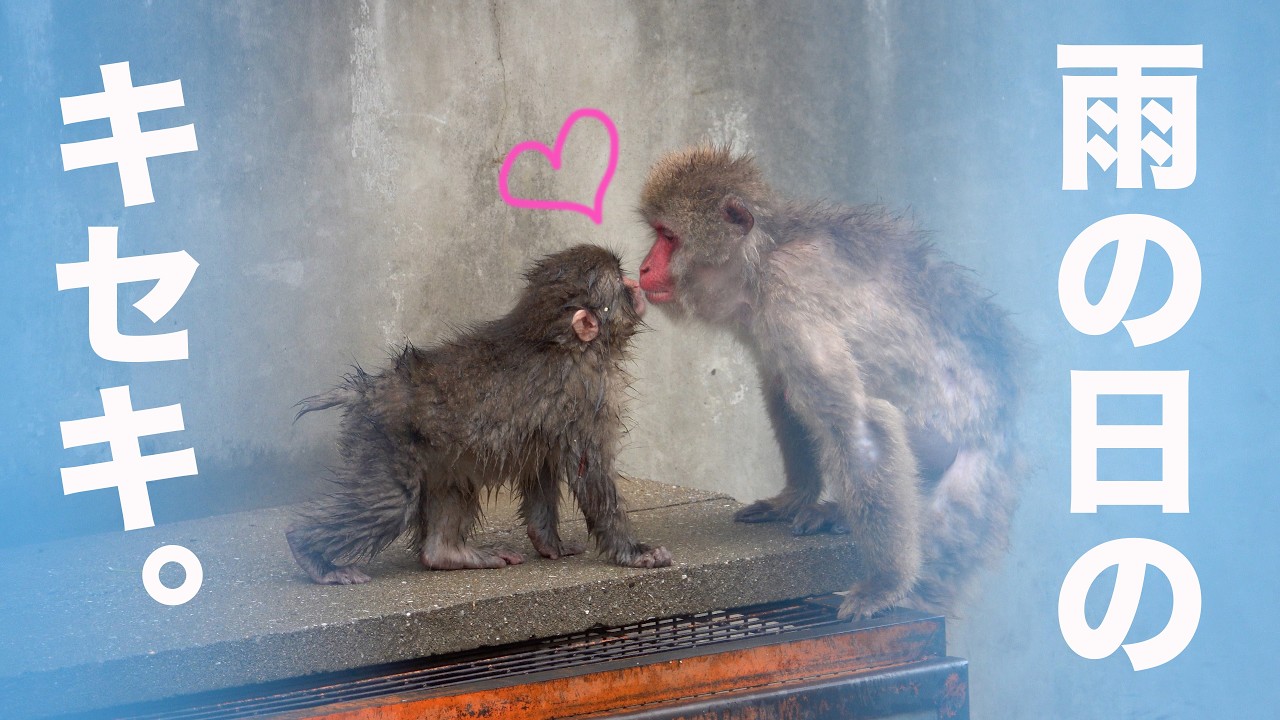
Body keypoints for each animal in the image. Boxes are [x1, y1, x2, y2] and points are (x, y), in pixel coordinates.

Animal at [287, 244, 672, 585]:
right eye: (619, 280)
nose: (636, 284)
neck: (568, 344)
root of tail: (367, 390)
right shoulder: (590, 397)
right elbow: (591, 472)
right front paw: (633, 552)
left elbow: (541, 467)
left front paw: (550, 544)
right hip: (382, 442)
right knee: (388, 505)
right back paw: (310, 553)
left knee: (452, 482)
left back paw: (446, 553)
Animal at [636, 146, 1021, 619]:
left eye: (668, 236)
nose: (644, 267)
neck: (762, 258)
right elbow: (781, 389)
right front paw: (795, 497)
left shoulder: (788, 295)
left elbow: (858, 421)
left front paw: (885, 584)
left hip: (980, 479)